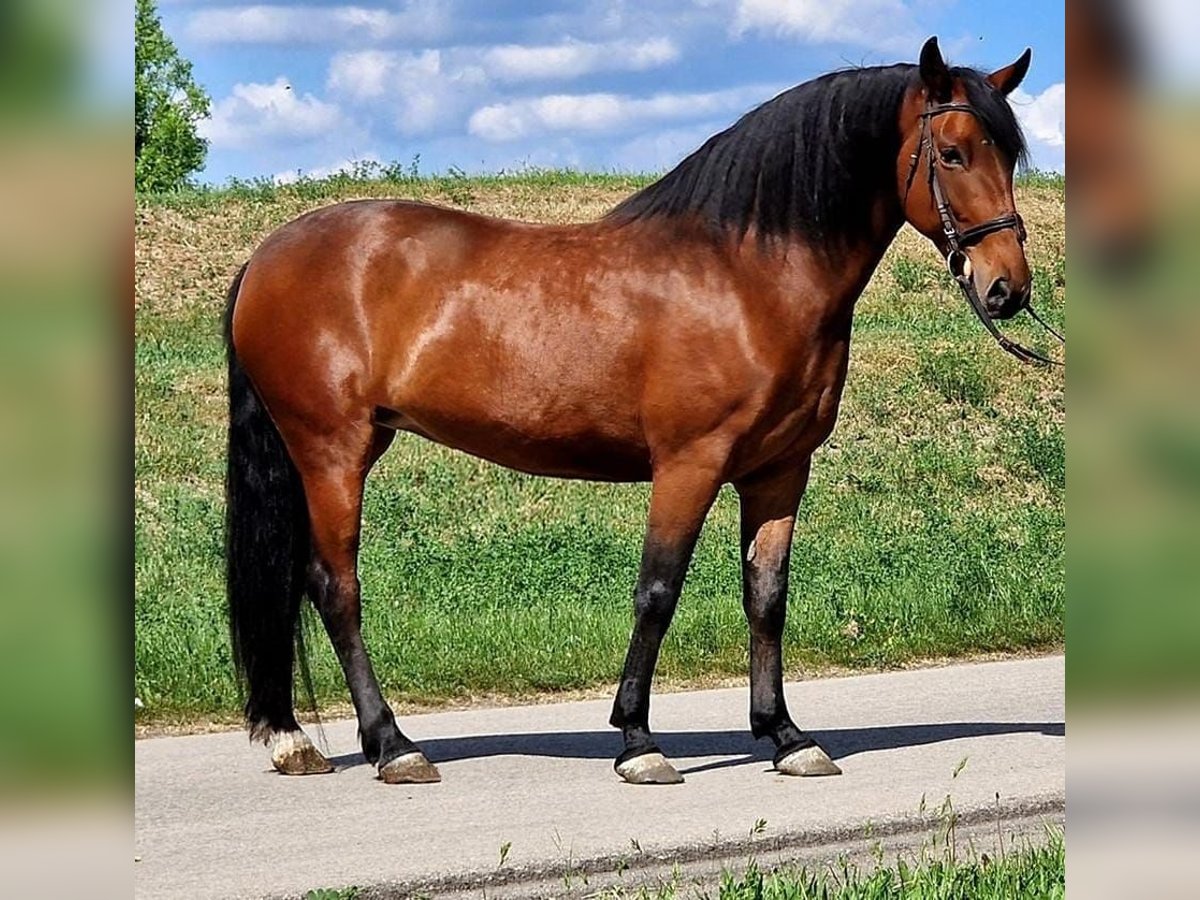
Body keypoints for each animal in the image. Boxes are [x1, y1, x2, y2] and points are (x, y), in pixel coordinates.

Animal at [229, 38, 1036, 787]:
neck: (746, 275)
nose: (1007, 288)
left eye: (1011, 156)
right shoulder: (689, 464)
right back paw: (393, 745)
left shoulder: (779, 470)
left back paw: (297, 740)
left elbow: (766, 595)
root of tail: (268, 255)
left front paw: (785, 736)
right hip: (334, 453)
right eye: (954, 152)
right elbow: (657, 591)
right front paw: (639, 742)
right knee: (335, 587)